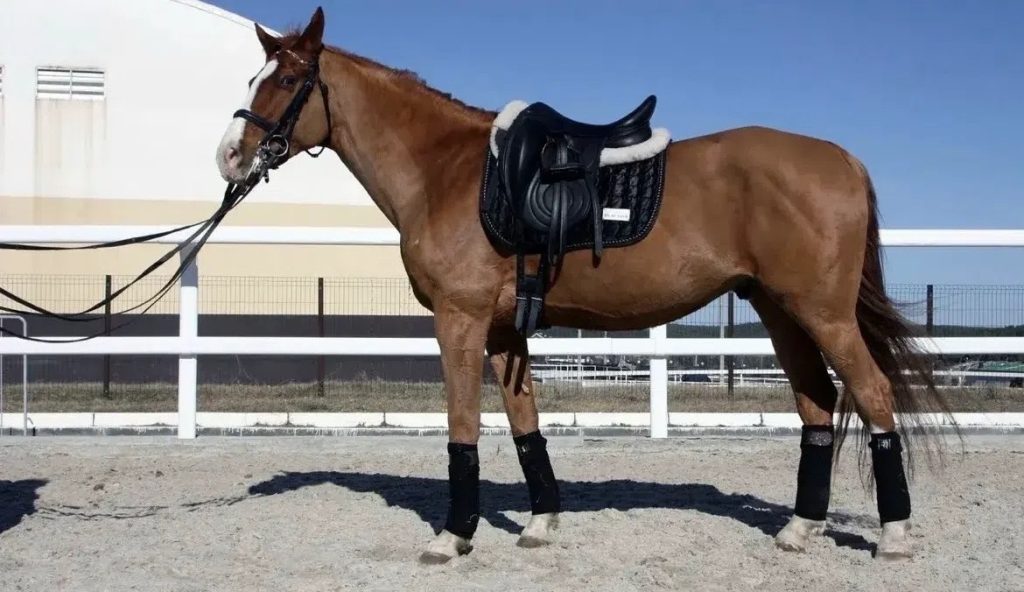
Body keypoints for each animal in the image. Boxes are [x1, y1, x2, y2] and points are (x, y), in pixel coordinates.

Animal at [215, 7, 953, 563]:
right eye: (253, 75)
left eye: (287, 78)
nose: (229, 156)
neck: (444, 170)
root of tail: (844, 159)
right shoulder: (504, 330)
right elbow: (525, 427)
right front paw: (541, 524)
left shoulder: (459, 321)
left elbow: (463, 429)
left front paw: (454, 536)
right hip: (780, 312)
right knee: (817, 405)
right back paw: (800, 528)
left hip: (822, 313)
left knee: (873, 395)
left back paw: (895, 535)